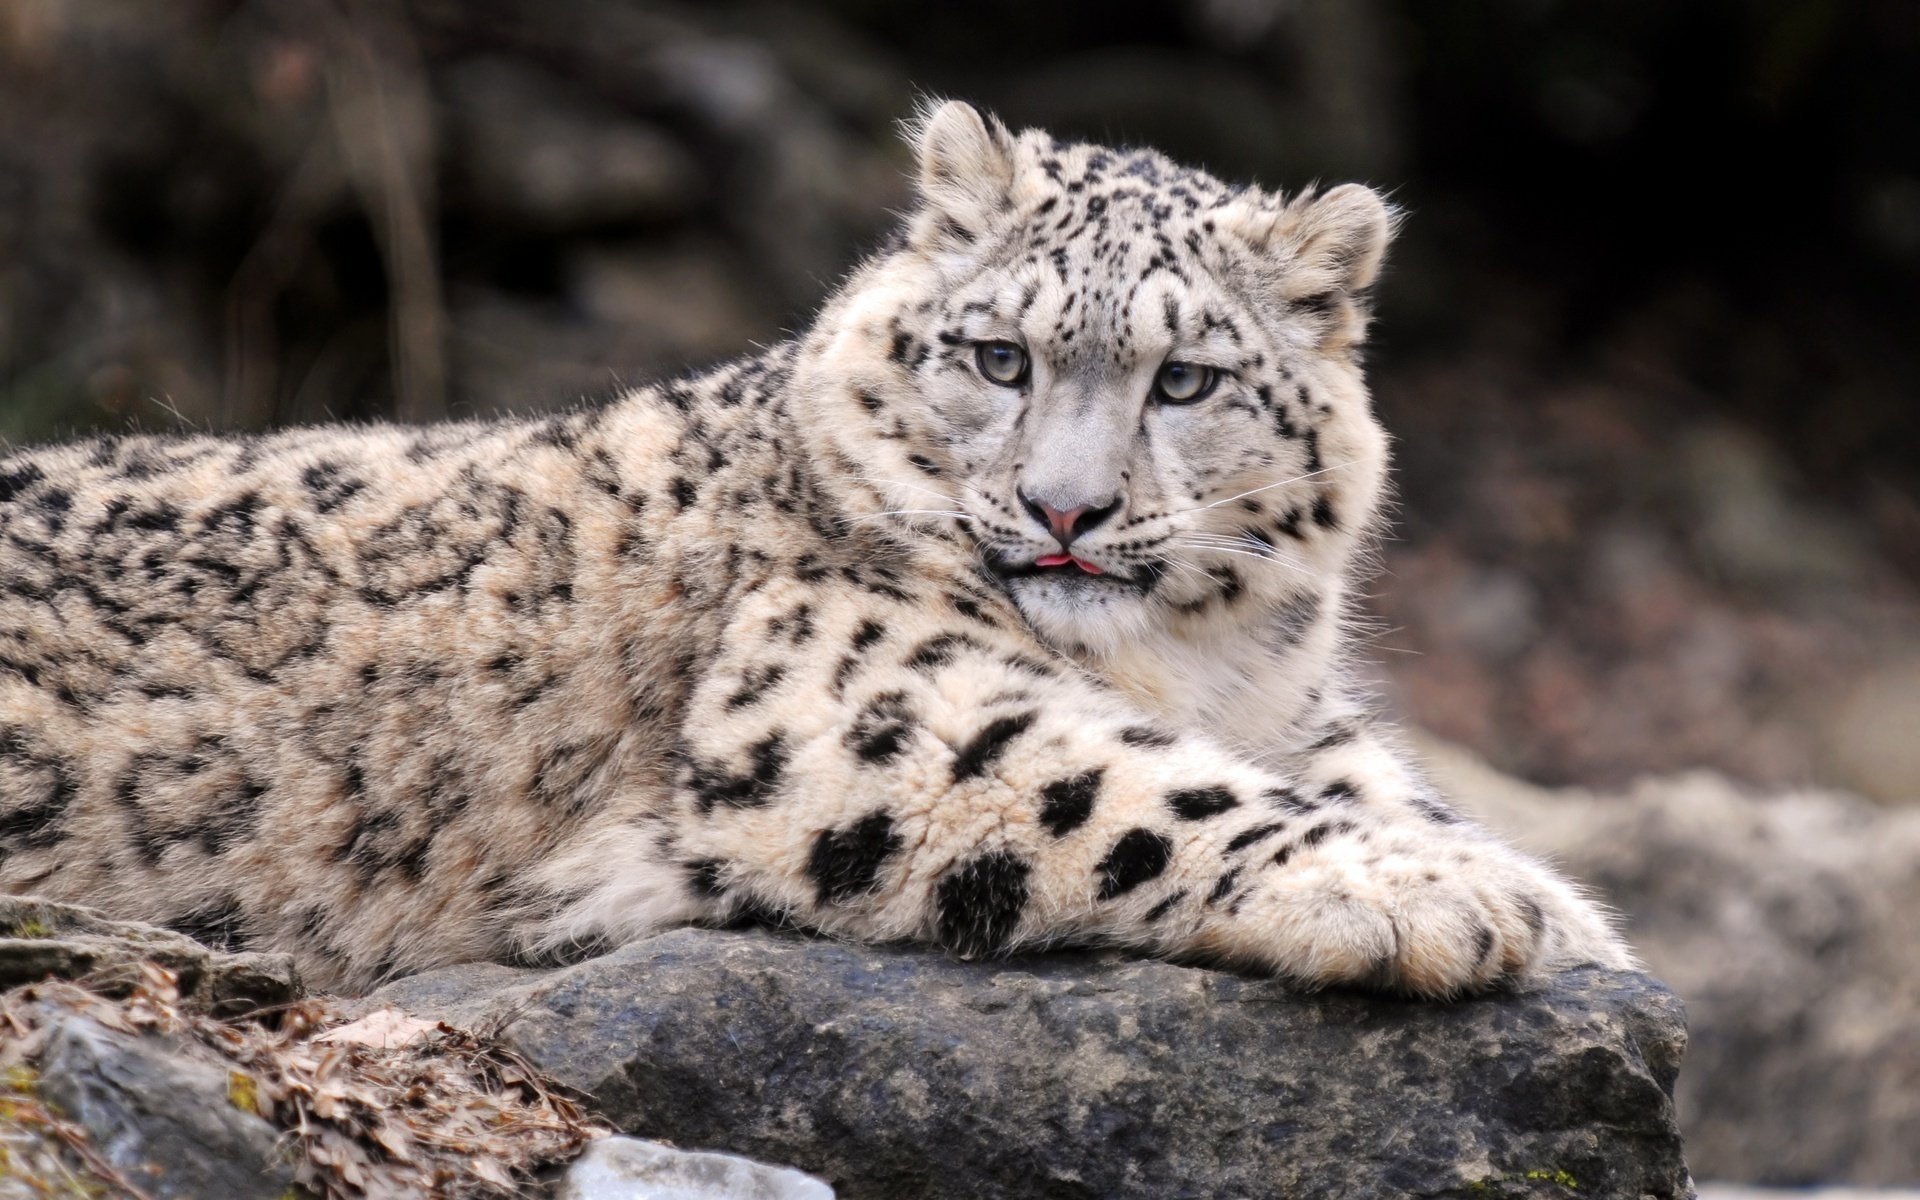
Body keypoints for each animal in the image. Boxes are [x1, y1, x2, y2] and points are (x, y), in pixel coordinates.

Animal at [0, 102, 1635, 990]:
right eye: (996, 356)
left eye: (1186, 380)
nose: (1066, 511)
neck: (1191, 669)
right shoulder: (849, 694)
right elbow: (1138, 788)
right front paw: (1458, 898)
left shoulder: (1293, 714)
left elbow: (1373, 776)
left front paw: (1552, 906)